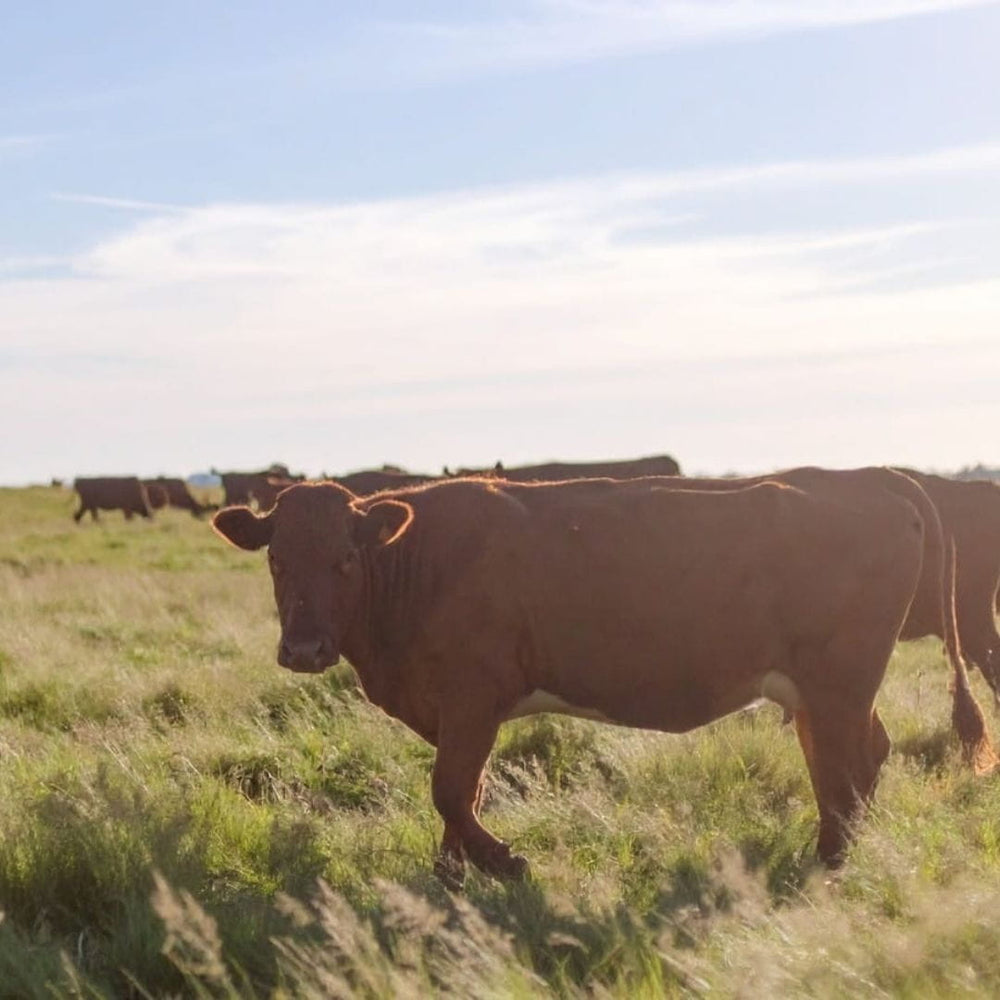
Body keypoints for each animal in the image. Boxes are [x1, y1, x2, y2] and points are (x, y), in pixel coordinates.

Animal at [214, 475, 926, 884]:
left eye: (345, 557)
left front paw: (503, 862)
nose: (305, 650)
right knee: (854, 759)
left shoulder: (473, 697)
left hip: (839, 686)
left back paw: (831, 860)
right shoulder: (457, 713)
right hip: (819, 694)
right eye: (277, 558)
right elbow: (464, 794)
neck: (416, 562)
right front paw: (450, 877)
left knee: (847, 766)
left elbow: (451, 791)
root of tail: (873, 480)